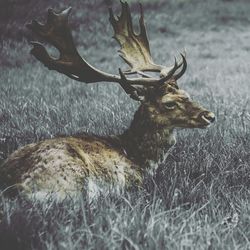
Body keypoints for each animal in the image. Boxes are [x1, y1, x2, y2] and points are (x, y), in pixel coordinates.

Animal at [0, 1, 215, 200]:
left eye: (187, 94)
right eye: (169, 103)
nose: (210, 116)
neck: (138, 157)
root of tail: (12, 186)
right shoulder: (133, 180)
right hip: (69, 181)